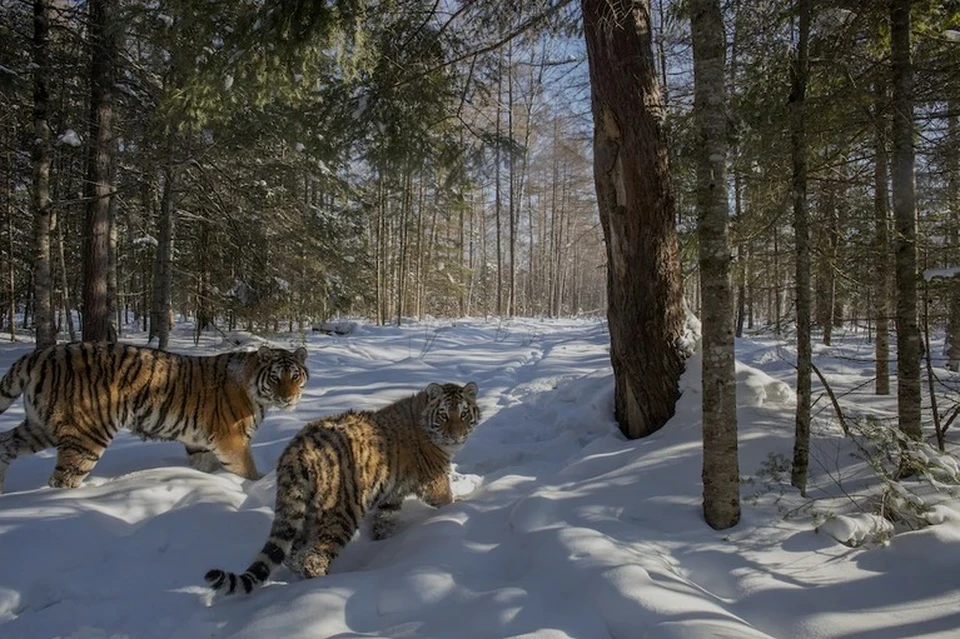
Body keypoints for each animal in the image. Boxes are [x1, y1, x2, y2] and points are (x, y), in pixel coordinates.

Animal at [0, 342, 308, 492]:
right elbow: (248, 471)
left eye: (294, 377)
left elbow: (204, 468)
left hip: (38, 427)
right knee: (62, 479)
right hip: (86, 435)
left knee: (5, 445)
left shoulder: (199, 443)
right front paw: (256, 486)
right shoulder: (231, 439)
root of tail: (38, 355)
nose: (289, 398)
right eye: (276, 378)